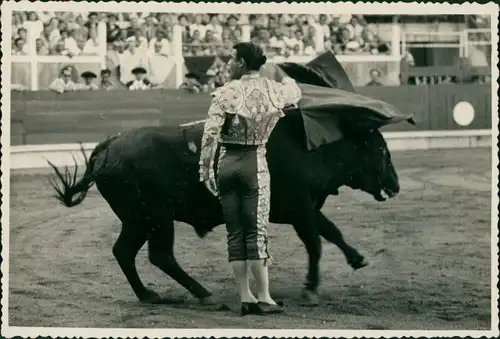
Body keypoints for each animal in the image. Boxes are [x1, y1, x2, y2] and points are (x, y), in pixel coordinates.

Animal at [49, 110, 402, 306]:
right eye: (381, 150)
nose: (396, 185)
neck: (309, 147)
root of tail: (108, 146)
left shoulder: (306, 209)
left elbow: (332, 231)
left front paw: (357, 259)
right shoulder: (300, 209)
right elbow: (315, 243)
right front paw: (311, 288)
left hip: (139, 220)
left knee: (125, 252)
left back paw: (150, 295)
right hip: (155, 218)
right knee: (159, 255)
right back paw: (201, 293)